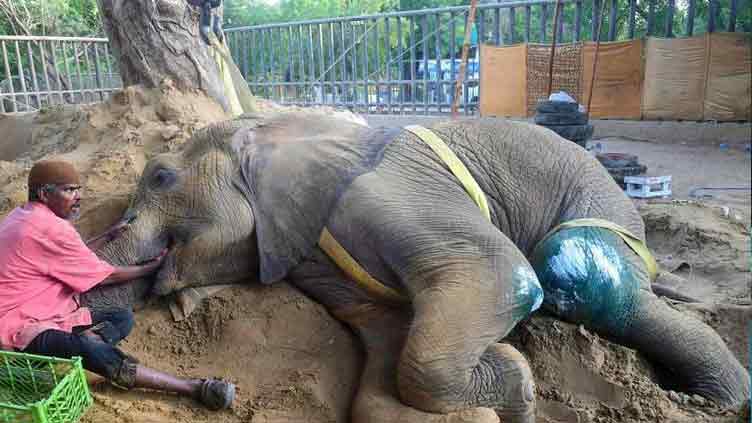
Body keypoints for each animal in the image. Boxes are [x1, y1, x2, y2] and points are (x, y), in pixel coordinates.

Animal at [90, 111, 750, 423]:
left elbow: (496, 270)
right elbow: (386, 361)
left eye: (160, 176)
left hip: (598, 203)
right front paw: (510, 381)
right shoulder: (316, 260)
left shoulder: (380, 193)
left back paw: (714, 403)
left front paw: (515, 386)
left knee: (591, 289)